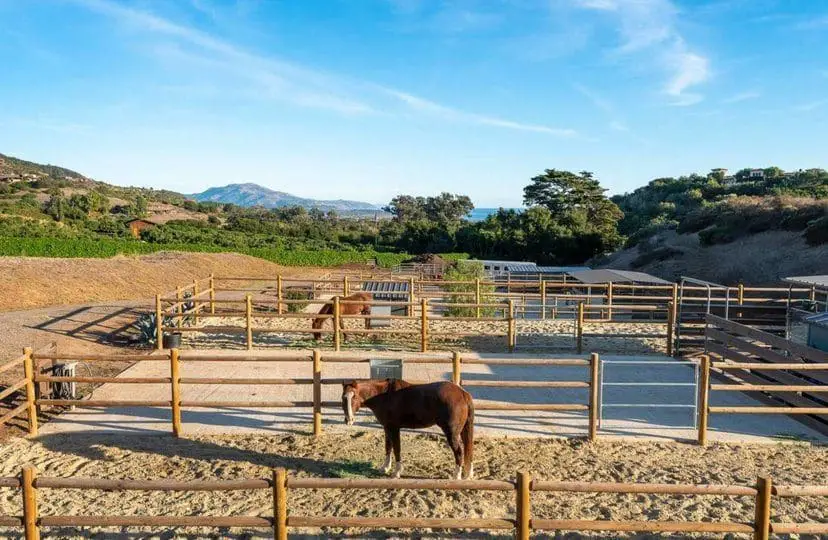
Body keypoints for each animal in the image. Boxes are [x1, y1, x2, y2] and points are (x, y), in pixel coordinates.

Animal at [342, 378, 472, 478]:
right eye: (343, 398)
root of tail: (462, 393)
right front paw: (385, 468)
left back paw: (456, 476)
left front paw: (396, 472)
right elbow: (388, 447)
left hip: (452, 433)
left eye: (354, 397)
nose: (349, 419)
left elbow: (397, 449)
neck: (384, 395)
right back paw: (468, 474)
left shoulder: (394, 429)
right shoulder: (387, 428)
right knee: (468, 449)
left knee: (459, 452)